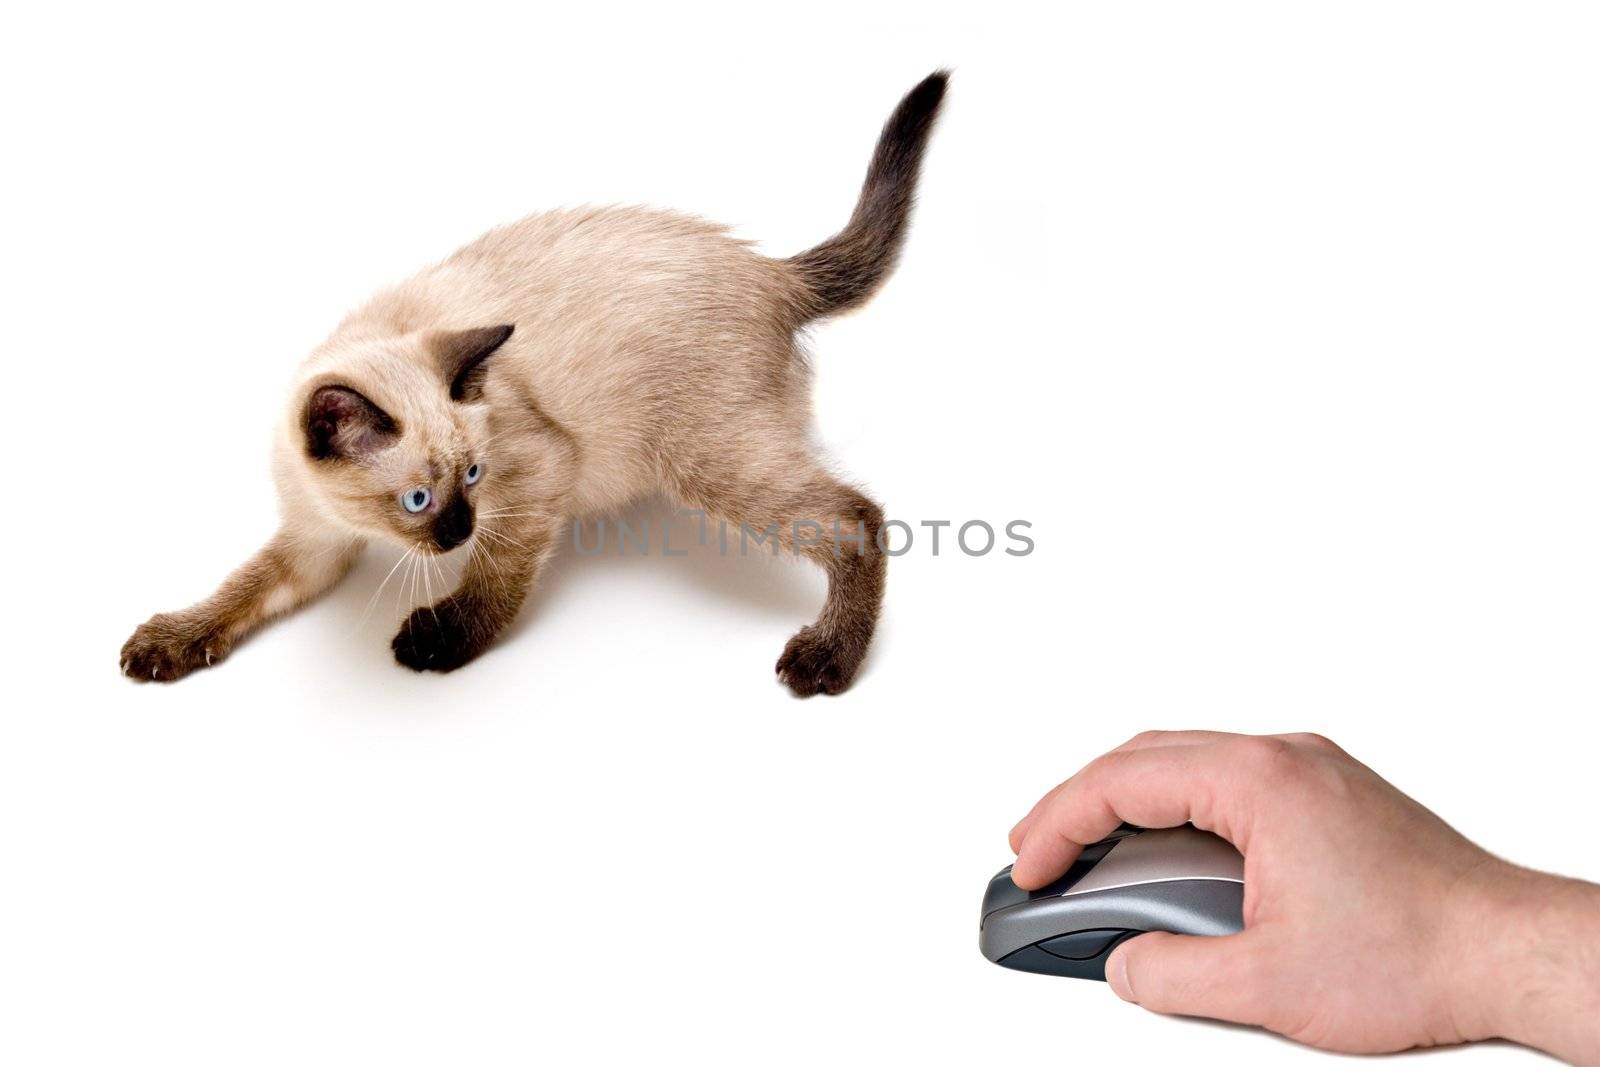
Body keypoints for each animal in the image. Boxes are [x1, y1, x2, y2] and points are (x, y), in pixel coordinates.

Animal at [124, 70, 953, 697]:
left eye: (473, 476)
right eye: (418, 499)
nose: (458, 531)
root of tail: (775, 272)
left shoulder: (539, 474)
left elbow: (497, 579)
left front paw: (439, 641)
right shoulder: (313, 542)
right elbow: (242, 588)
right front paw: (170, 641)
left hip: (705, 458)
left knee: (858, 518)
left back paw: (828, 660)